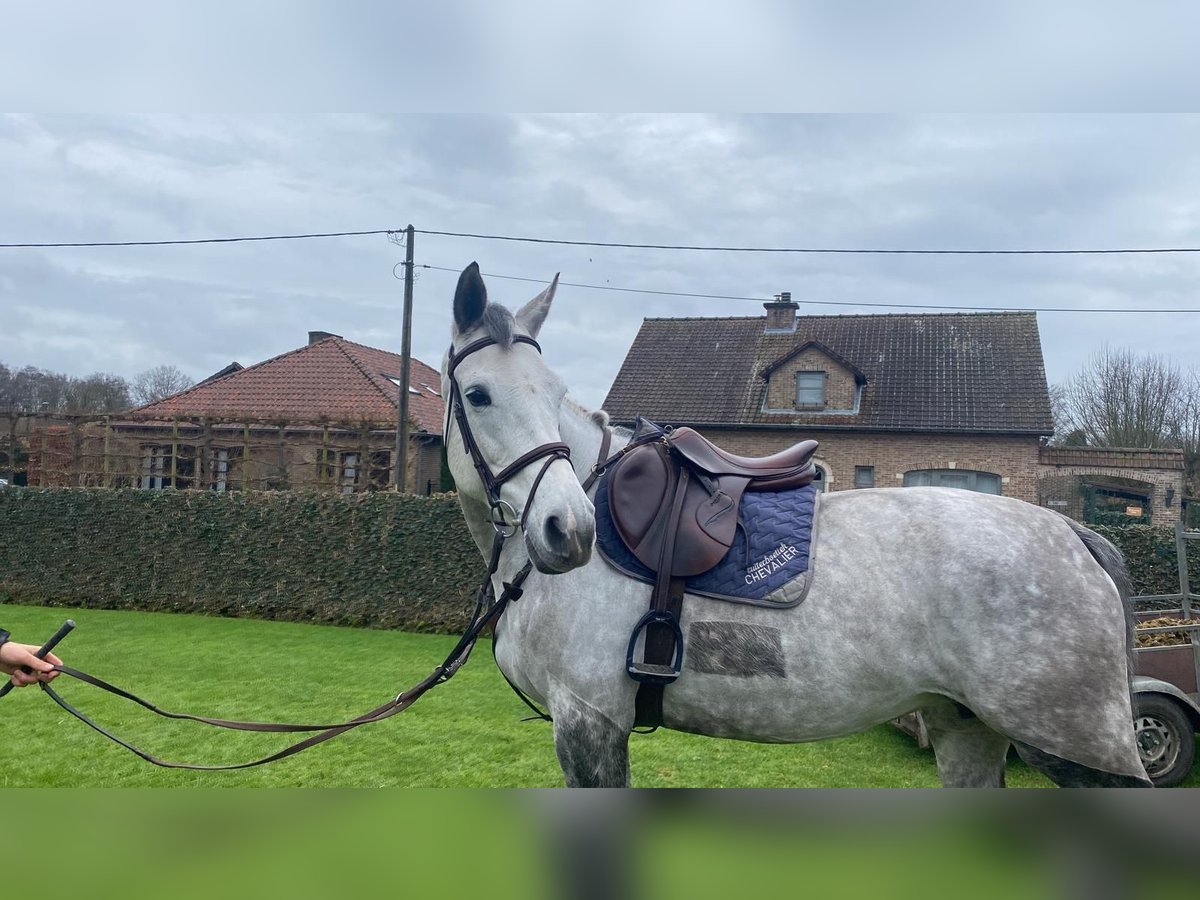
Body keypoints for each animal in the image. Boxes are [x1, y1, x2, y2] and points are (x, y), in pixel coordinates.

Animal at [439, 264, 1142, 787]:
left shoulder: (589, 721)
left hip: (1075, 749)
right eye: (478, 395)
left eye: (555, 393)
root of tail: (1077, 537)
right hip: (967, 730)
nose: (570, 530)